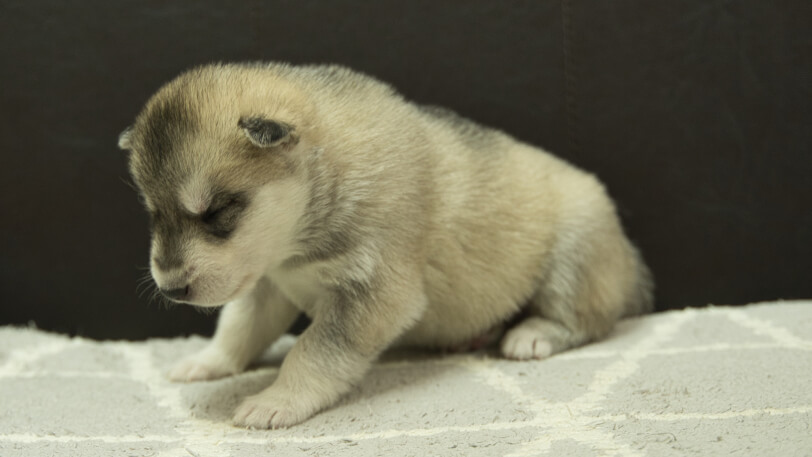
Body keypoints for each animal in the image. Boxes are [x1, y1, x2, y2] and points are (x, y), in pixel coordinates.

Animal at [119, 62, 652, 430]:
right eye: (153, 213)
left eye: (216, 211)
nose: (170, 289)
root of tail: (632, 264)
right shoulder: (266, 282)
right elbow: (239, 328)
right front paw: (209, 362)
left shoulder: (372, 292)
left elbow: (313, 351)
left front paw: (277, 400)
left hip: (576, 248)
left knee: (584, 317)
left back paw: (534, 333)